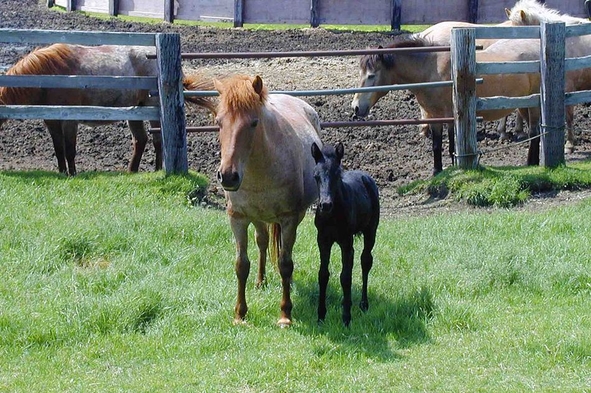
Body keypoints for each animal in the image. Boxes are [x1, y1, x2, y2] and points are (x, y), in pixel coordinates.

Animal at [0, 42, 217, 175]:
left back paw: (156, 170)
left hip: (152, 110)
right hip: (135, 113)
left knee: (157, 141)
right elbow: (59, 149)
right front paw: (62, 172)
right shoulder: (51, 120)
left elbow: (70, 150)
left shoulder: (70, 119)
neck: (50, 75)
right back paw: (131, 171)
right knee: (141, 140)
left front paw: (73, 174)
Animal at [214, 75, 322, 326]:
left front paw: (285, 315)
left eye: (254, 123)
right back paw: (260, 281)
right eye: (219, 122)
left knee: (282, 251)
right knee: (262, 242)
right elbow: (241, 265)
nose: (228, 176)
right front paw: (240, 314)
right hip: (257, 217)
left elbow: (285, 264)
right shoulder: (238, 218)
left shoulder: (289, 218)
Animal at [310, 142, 380, 326]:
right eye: (316, 176)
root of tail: (365, 176)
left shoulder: (346, 242)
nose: (325, 205)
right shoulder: (323, 240)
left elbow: (345, 277)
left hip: (371, 231)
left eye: (337, 174)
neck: (333, 215)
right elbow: (323, 275)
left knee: (365, 261)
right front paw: (320, 316)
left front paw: (346, 318)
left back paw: (363, 304)